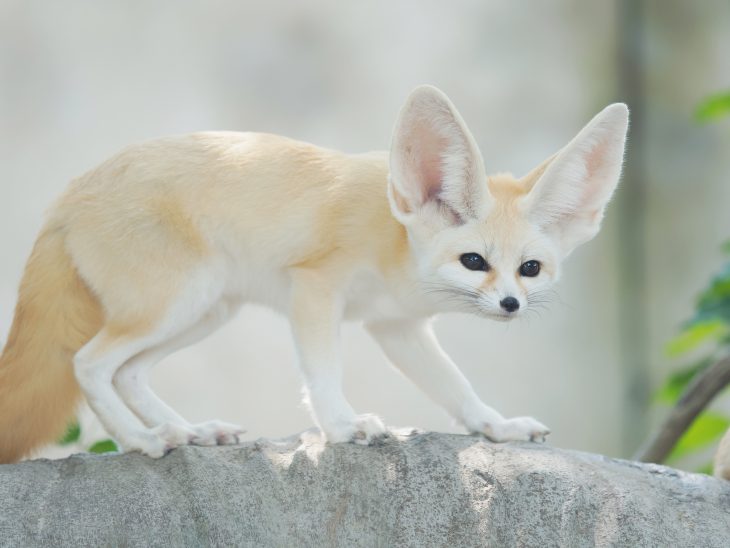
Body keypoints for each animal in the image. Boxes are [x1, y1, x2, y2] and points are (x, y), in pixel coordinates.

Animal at [0, 86, 624, 462]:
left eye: (530, 269)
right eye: (474, 261)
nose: (511, 305)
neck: (394, 237)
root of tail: (70, 192)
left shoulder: (398, 327)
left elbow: (458, 389)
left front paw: (496, 428)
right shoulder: (316, 289)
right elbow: (323, 375)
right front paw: (343, 427)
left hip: (206, 312)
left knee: (127, 373)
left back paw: (188, 431)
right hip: (176, 304)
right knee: (88, 364)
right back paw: (138, 442)